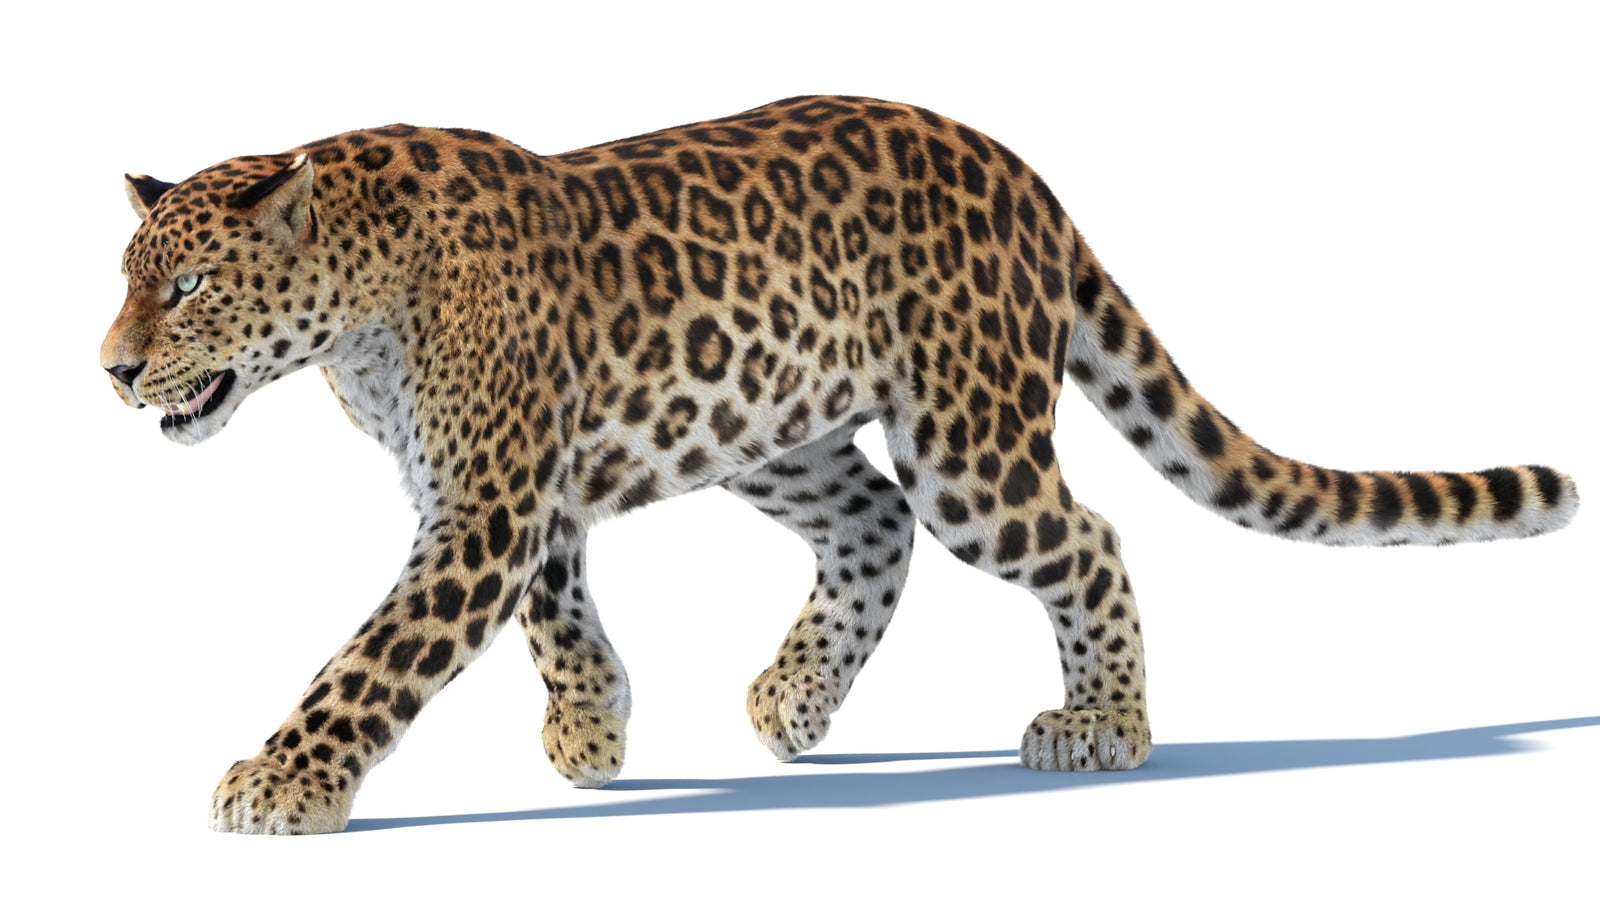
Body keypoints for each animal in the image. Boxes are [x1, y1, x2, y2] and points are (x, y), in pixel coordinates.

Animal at [102, 95, 1579, 835]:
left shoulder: (485, 505)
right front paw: (595, 730)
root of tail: (1022, 172)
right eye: (128, 280)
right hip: (777, 424)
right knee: (872, 526)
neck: (354, 314)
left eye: (186, 287)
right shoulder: (513, 491)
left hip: (967, 442)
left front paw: (282, 785)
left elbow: (372, 659)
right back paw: (793, 705)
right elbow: (559, 613)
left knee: (1083, 538)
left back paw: (1103, 724)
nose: (111, 370)